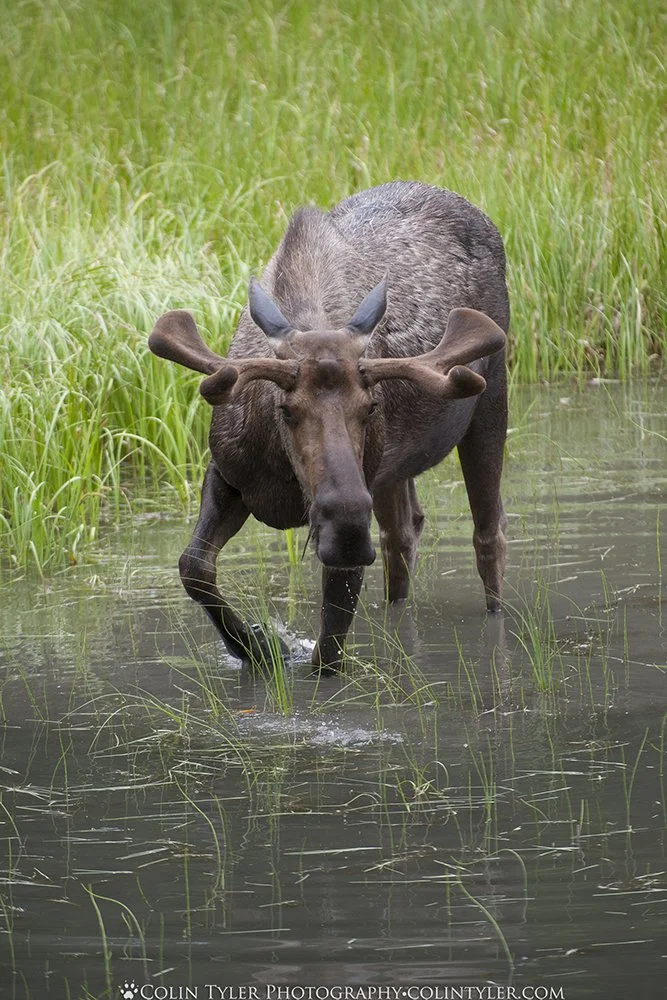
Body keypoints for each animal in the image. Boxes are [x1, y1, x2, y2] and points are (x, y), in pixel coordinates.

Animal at [148, 181, 509, 670]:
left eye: (370, 406)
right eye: (287, 409)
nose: (348, 527)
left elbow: (328, 655)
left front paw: (266, 645)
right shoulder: (227, 473)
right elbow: (194, 567)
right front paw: (257, 646)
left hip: (491, 396)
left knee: (488, 535)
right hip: (393, 471)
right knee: (403, 535)